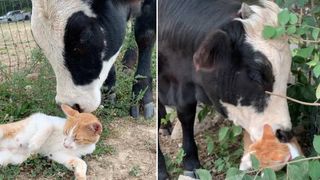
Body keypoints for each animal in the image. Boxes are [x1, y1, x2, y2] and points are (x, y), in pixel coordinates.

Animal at [159, 0, 294, 179]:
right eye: (256, 76)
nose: (285, 134)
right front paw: (161, 169)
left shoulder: (184, 84)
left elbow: (186, 116)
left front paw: (191, 162)